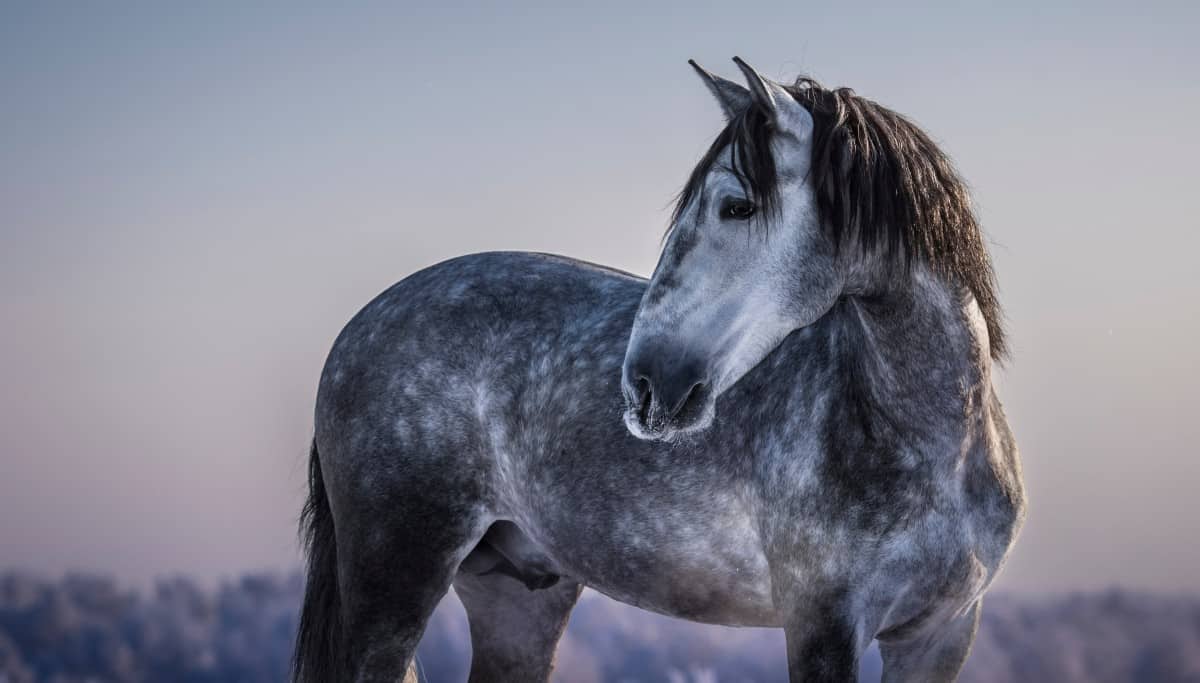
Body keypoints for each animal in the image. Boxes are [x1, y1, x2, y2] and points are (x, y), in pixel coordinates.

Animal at [288, 55, 1022, 676]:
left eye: (736, 205)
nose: (645, 386)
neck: (927, 440)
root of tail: (357, 328)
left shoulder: (940, 635)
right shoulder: (823, 626)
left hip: (519, 596)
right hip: (395, 583)